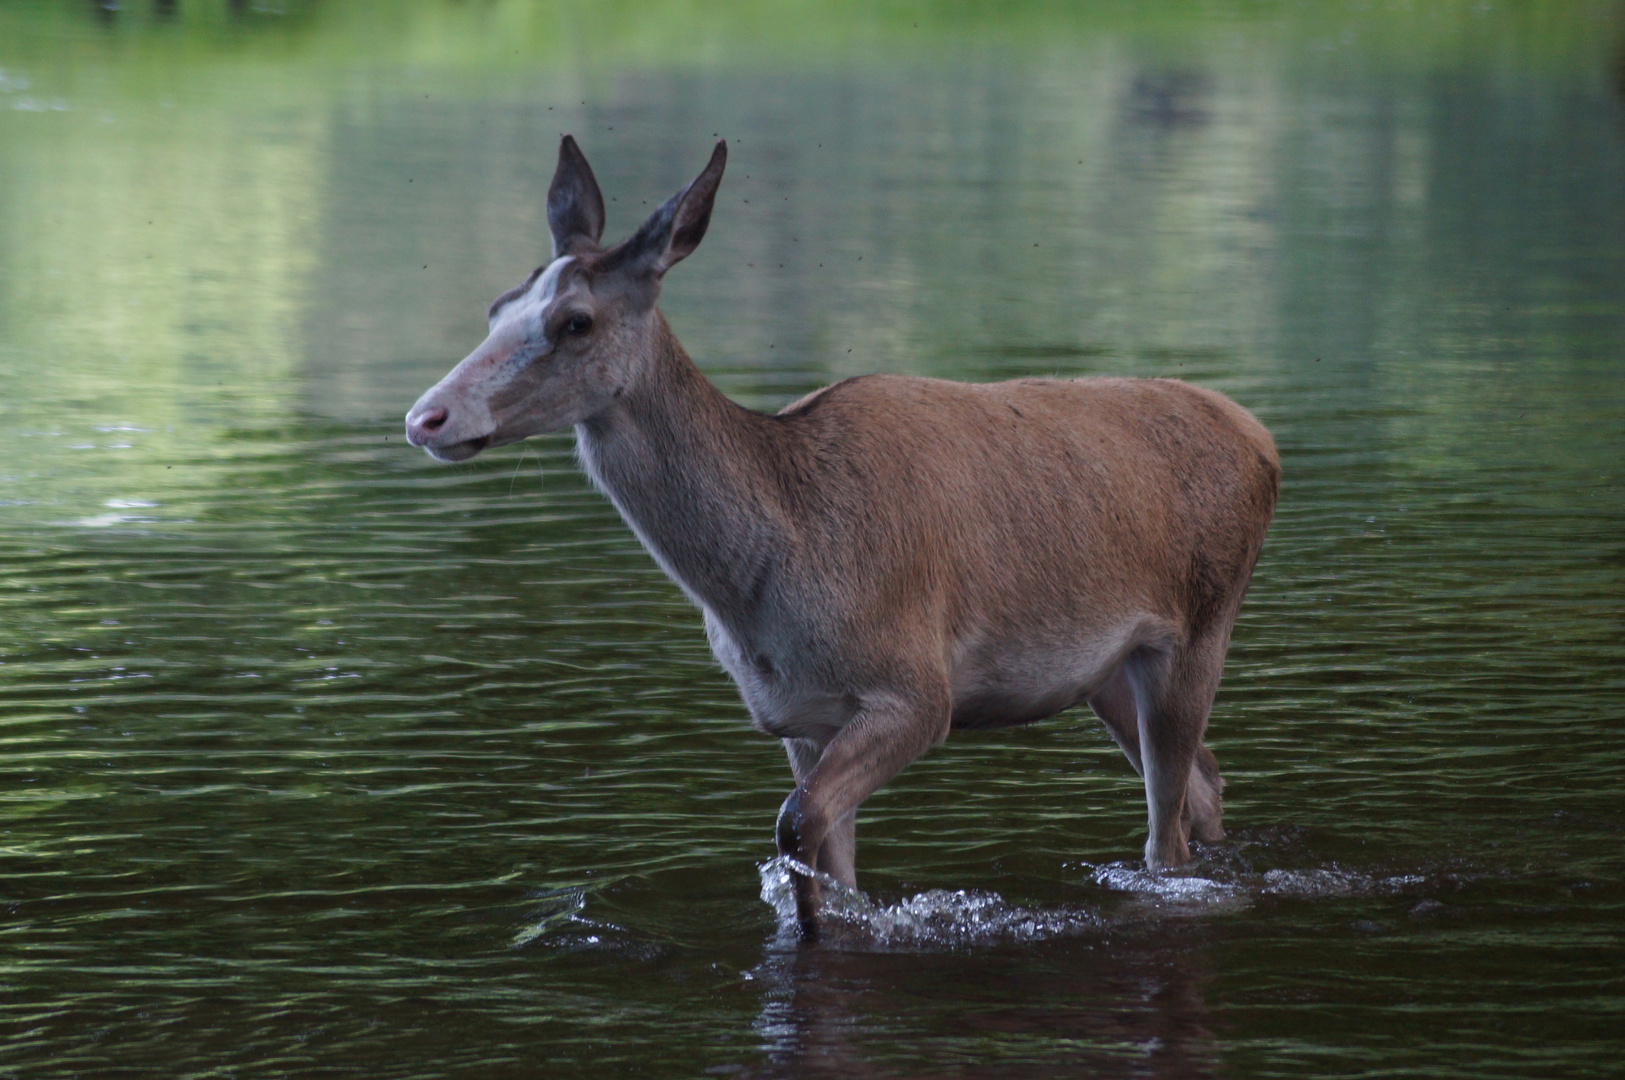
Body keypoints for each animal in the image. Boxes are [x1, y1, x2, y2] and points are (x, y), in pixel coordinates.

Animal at [406, 138, 1280, 941]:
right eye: (496, 306)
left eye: (575, 320)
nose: (427, 417)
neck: (759, 584)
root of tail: (1261, 439)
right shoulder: (802, 717)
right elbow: (825, 851)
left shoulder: (916, 690)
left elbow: (795, 827)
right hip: (1105, 673)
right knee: (1205, 782)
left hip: (1200, 630)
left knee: (1167, 837)